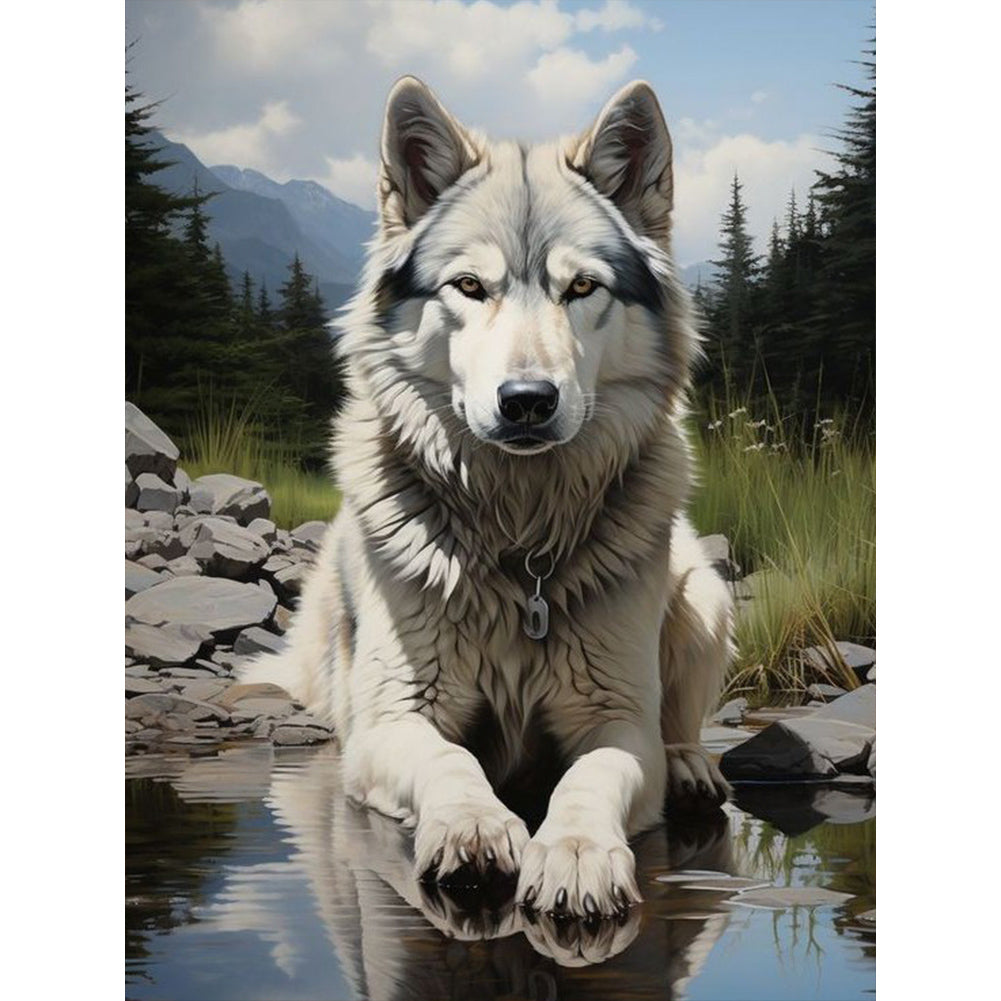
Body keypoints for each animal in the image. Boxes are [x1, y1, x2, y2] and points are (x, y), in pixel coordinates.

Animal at [242, 75, 734, 921]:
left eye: (581, 288)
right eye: (470, 287)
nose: (527, 402)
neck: (517, 540)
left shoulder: (615, 719)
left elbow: (590, 776)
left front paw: (575, 852)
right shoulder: (394, 720)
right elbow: (449, 761)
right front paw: (473, 826)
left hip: (703, 592)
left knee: (680, 719)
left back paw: (690, 766)